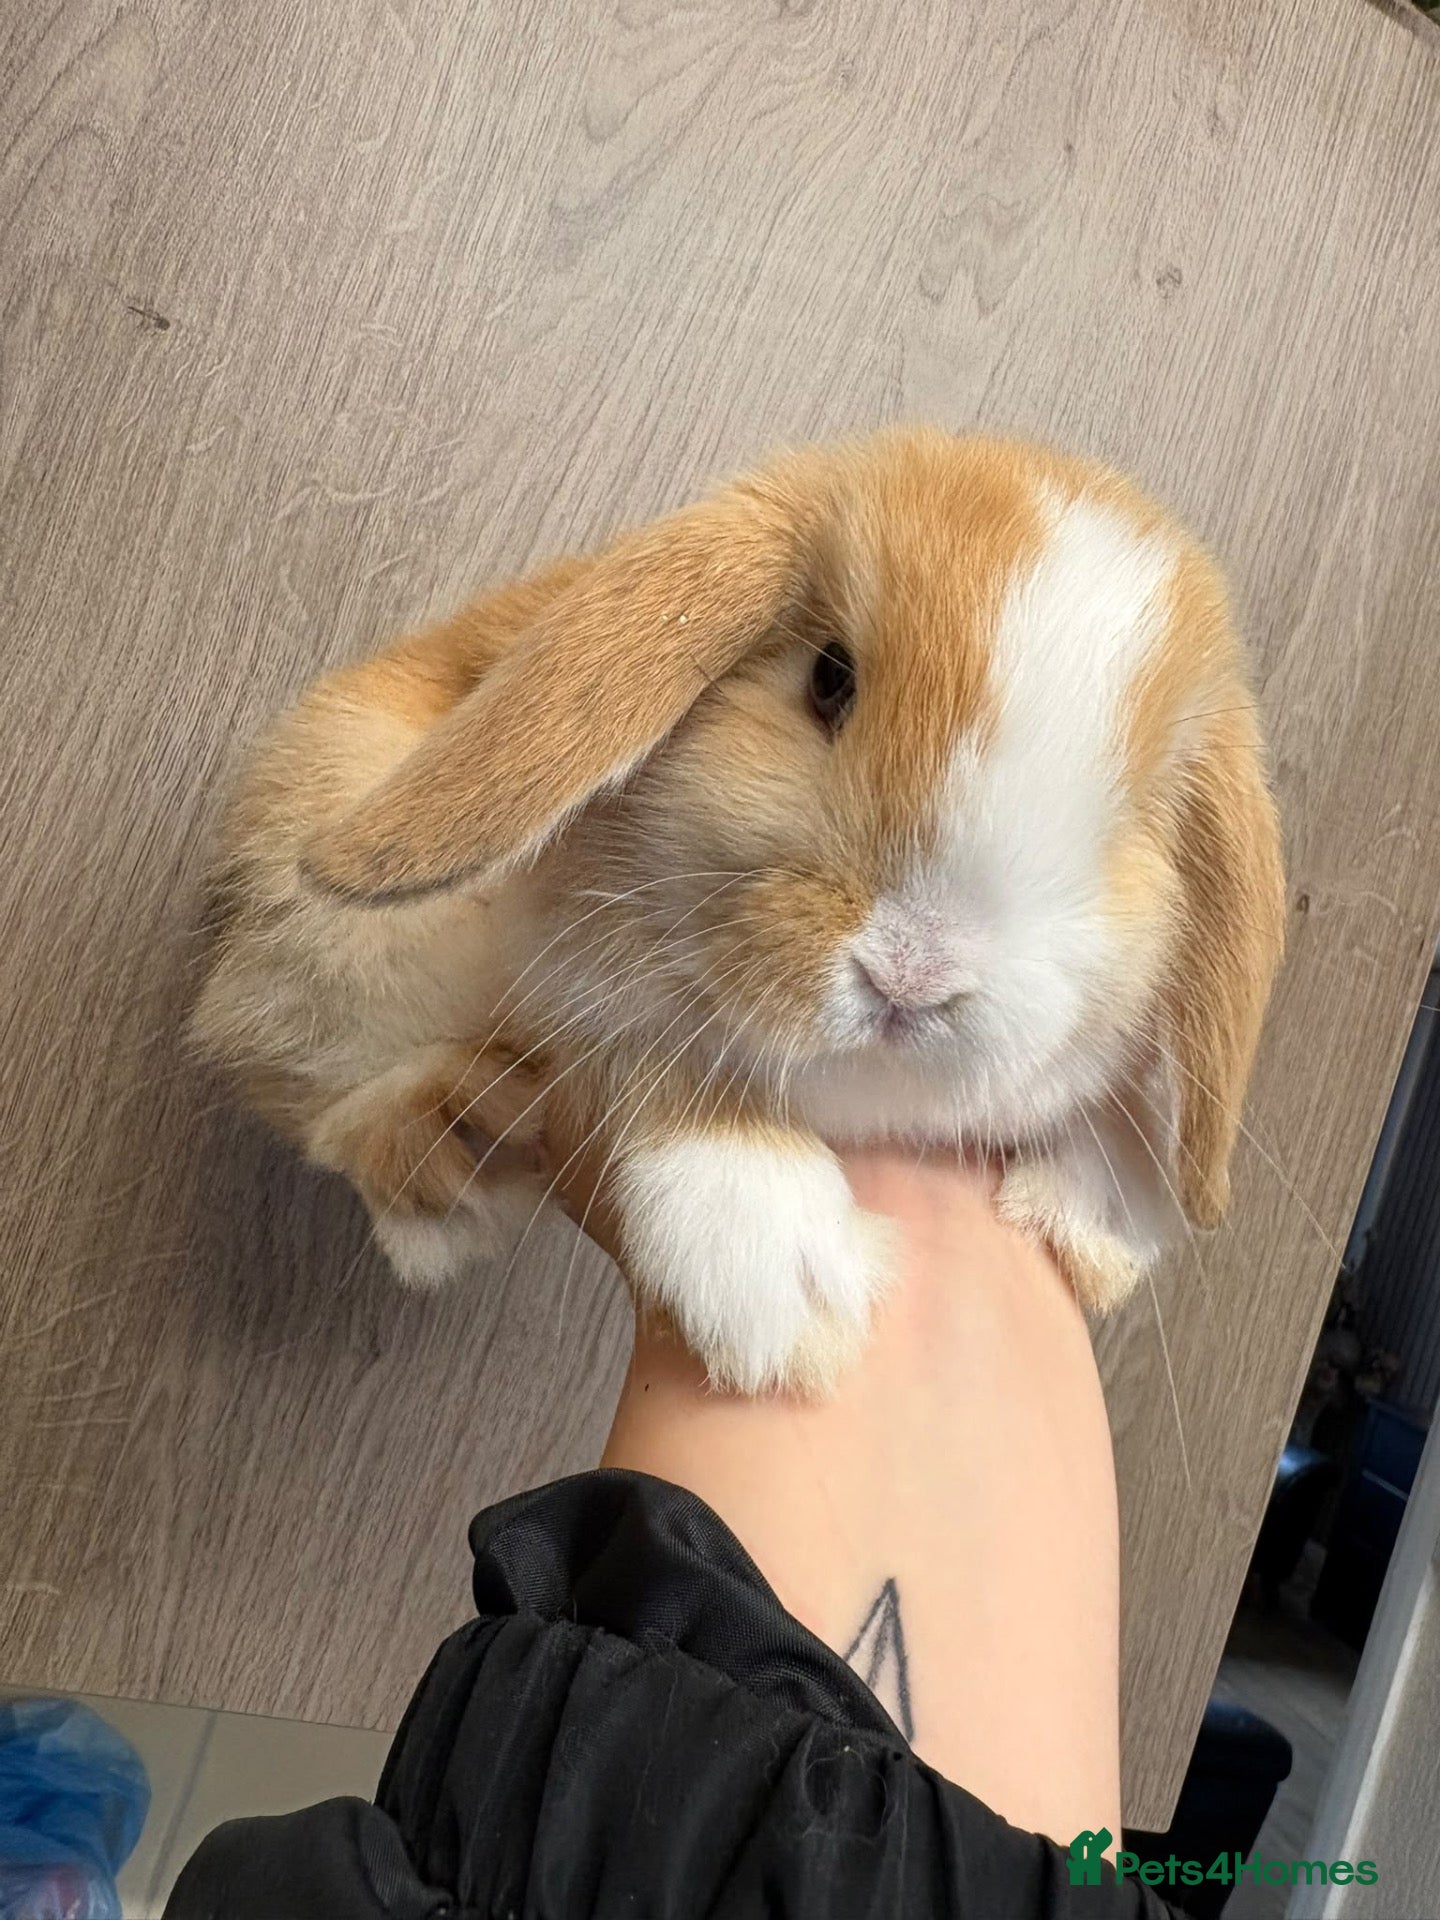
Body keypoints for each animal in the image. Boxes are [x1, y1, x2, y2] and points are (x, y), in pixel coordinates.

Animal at [191, 426, 1285, 1395]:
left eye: (1134, 814)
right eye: (830, 678)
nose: (911, 973)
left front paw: (1093, 1216)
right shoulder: (589, 988)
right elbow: (656, 1069)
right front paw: (787, 1288)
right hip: (341, 908)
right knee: (293, 1079)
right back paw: (450, 1141)